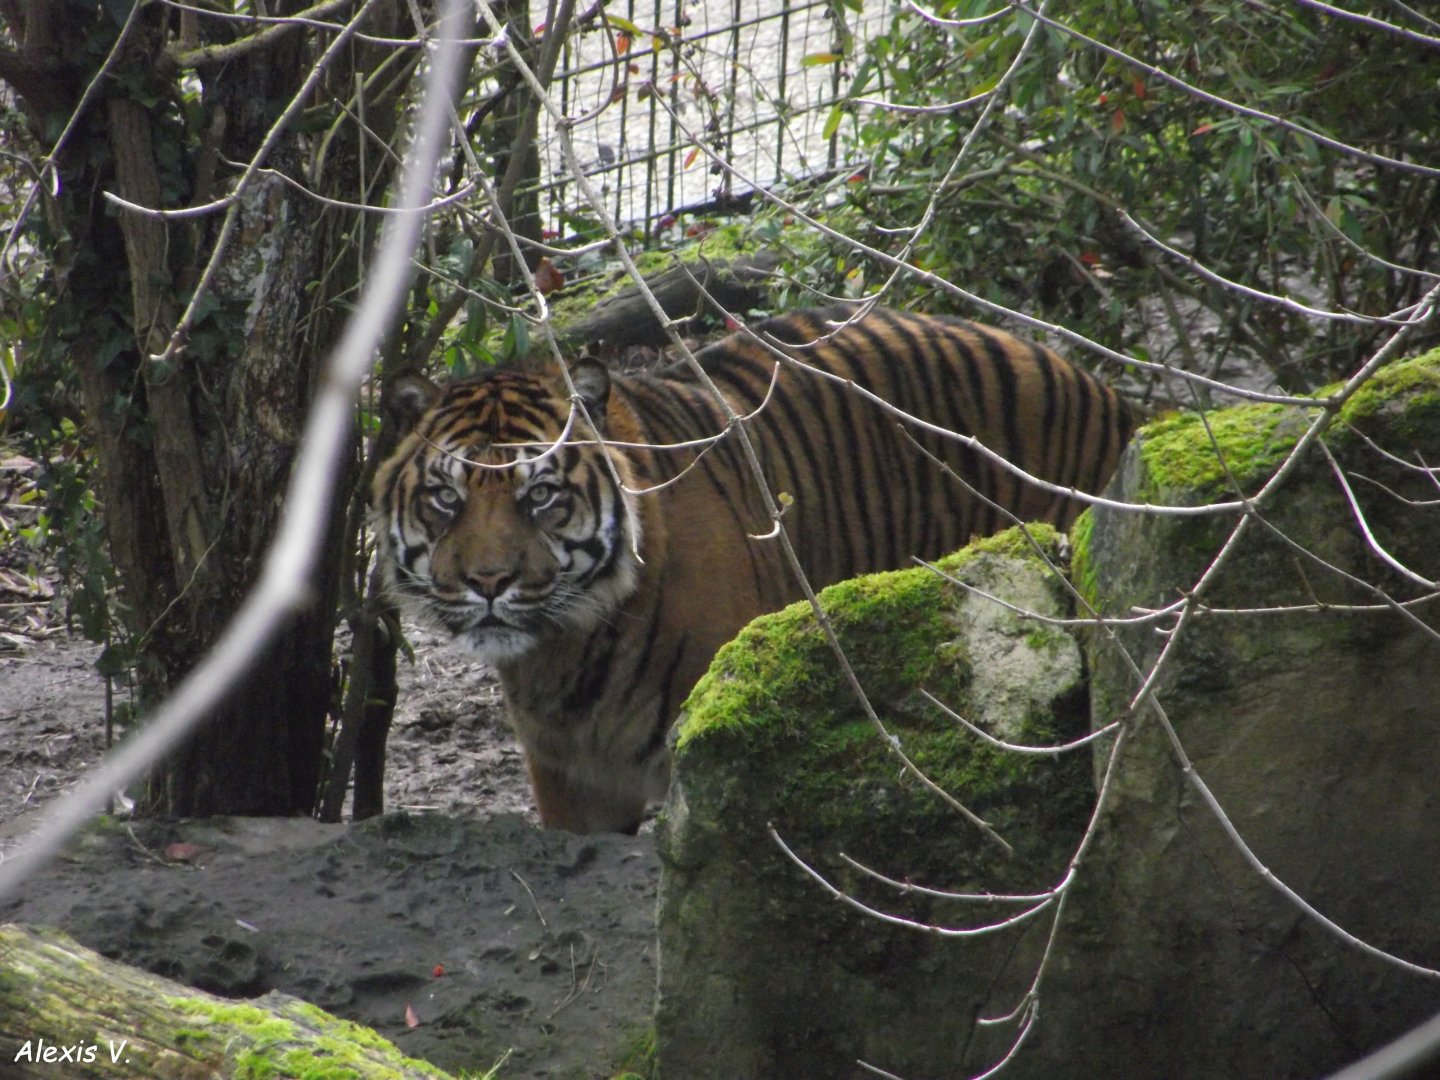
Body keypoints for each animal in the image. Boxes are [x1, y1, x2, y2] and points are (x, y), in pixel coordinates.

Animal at [372, 305, 1134, 833]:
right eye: (447, 498)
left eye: (540, 496)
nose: (488, 583)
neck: (566, 653)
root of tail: (1105, 392)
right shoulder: (570, 781)